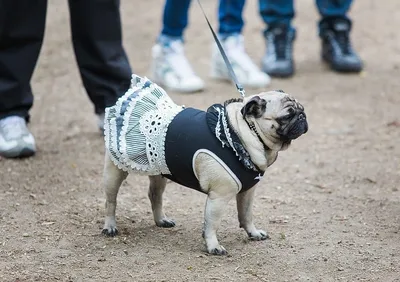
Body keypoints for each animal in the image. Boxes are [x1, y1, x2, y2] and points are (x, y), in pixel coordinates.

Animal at [101, 74, 308, 256]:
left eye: (301, 109)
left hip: (159, 170)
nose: (302, 117)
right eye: (286, 116)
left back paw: (161, 220)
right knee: (111, 201)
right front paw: (213, 246)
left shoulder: (248, 192)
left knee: (155, 196)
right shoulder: (219, 197)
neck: (239, 133)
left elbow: (246, 215)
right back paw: (110, 226)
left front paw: (253, 233)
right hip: (115, 172)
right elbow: (212, 224)